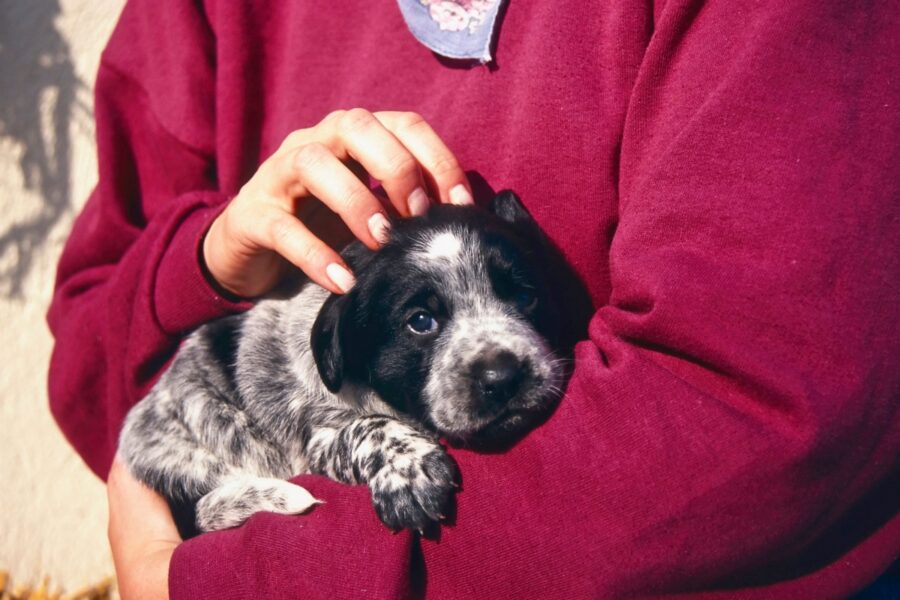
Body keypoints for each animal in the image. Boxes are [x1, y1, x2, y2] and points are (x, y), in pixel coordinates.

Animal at [118, 191, 592, 536]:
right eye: (421, 321)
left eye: (526, 296)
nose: (503, 377)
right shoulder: (316, 440)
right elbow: (366, 428)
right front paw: (407, 469)